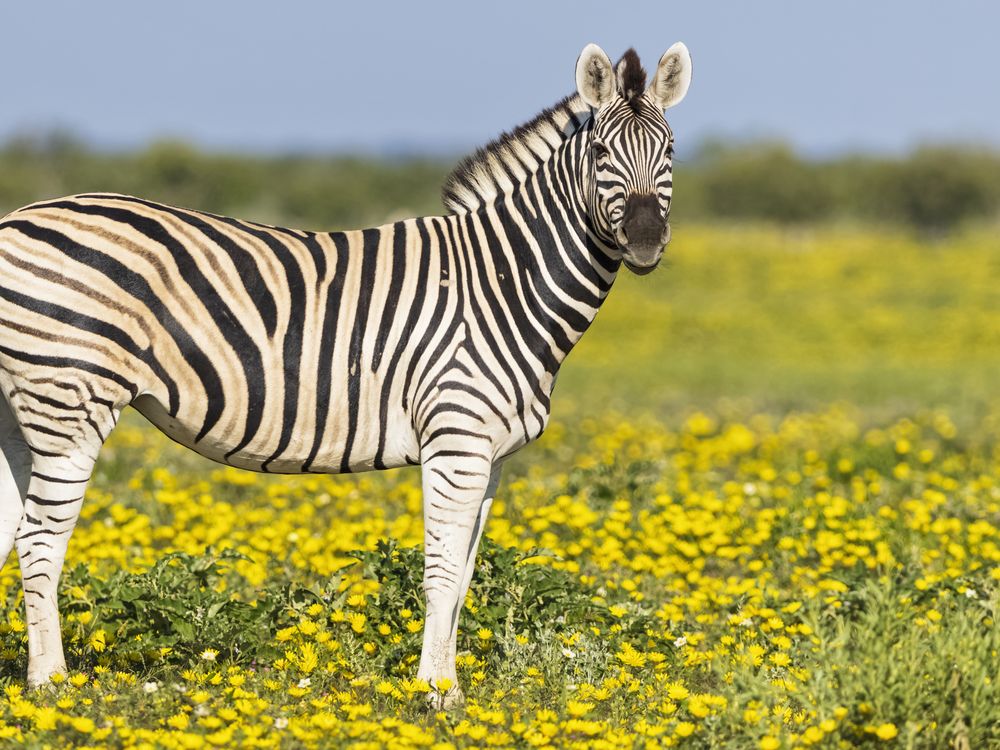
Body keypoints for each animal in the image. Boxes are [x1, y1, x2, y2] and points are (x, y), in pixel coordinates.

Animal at [0, 44, 688, 704]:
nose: (646, 241)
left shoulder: (490, 454)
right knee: (39, 542)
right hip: (68, 399)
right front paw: (434, 695)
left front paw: (452, 689)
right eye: (600, 151)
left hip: (19, 411)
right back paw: (50, 685)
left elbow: (465, 573)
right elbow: (441, 571)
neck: (501, 282)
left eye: (671, 150)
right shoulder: (457, 438)